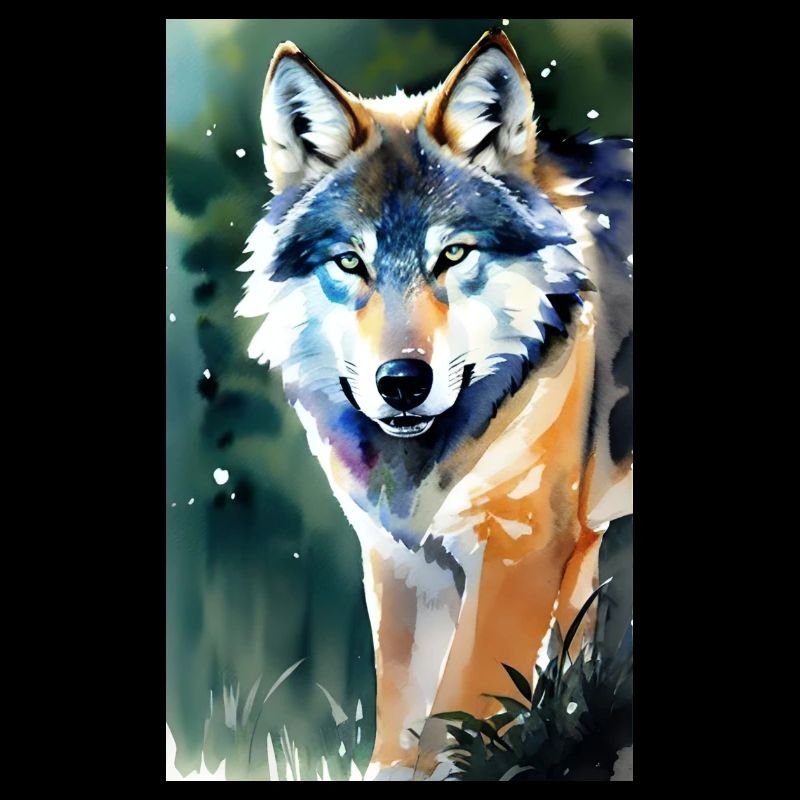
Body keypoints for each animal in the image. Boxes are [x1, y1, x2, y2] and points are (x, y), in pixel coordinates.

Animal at [236, 28, 632, 780]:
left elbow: (457, 712)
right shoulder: (401, 561)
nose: (401, 381)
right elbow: (403, 723)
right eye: (350, 262)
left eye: (452, 255)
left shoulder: (521, 551)